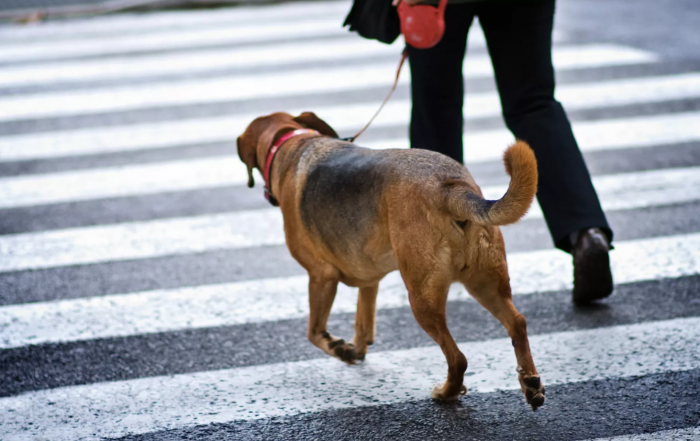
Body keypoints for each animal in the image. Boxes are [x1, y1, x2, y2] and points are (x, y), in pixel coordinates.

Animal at [238, 110, 544, 410]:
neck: (293, 142)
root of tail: (449, 188)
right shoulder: (367, 278)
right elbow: (362, 321)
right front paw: (356, 350)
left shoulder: (321, 276)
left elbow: (314, 331)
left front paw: (339, 348)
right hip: (486, 283)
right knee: (517, 323)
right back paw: (530, 383)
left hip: (422, 298)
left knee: (457, 358)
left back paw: (447, 393)